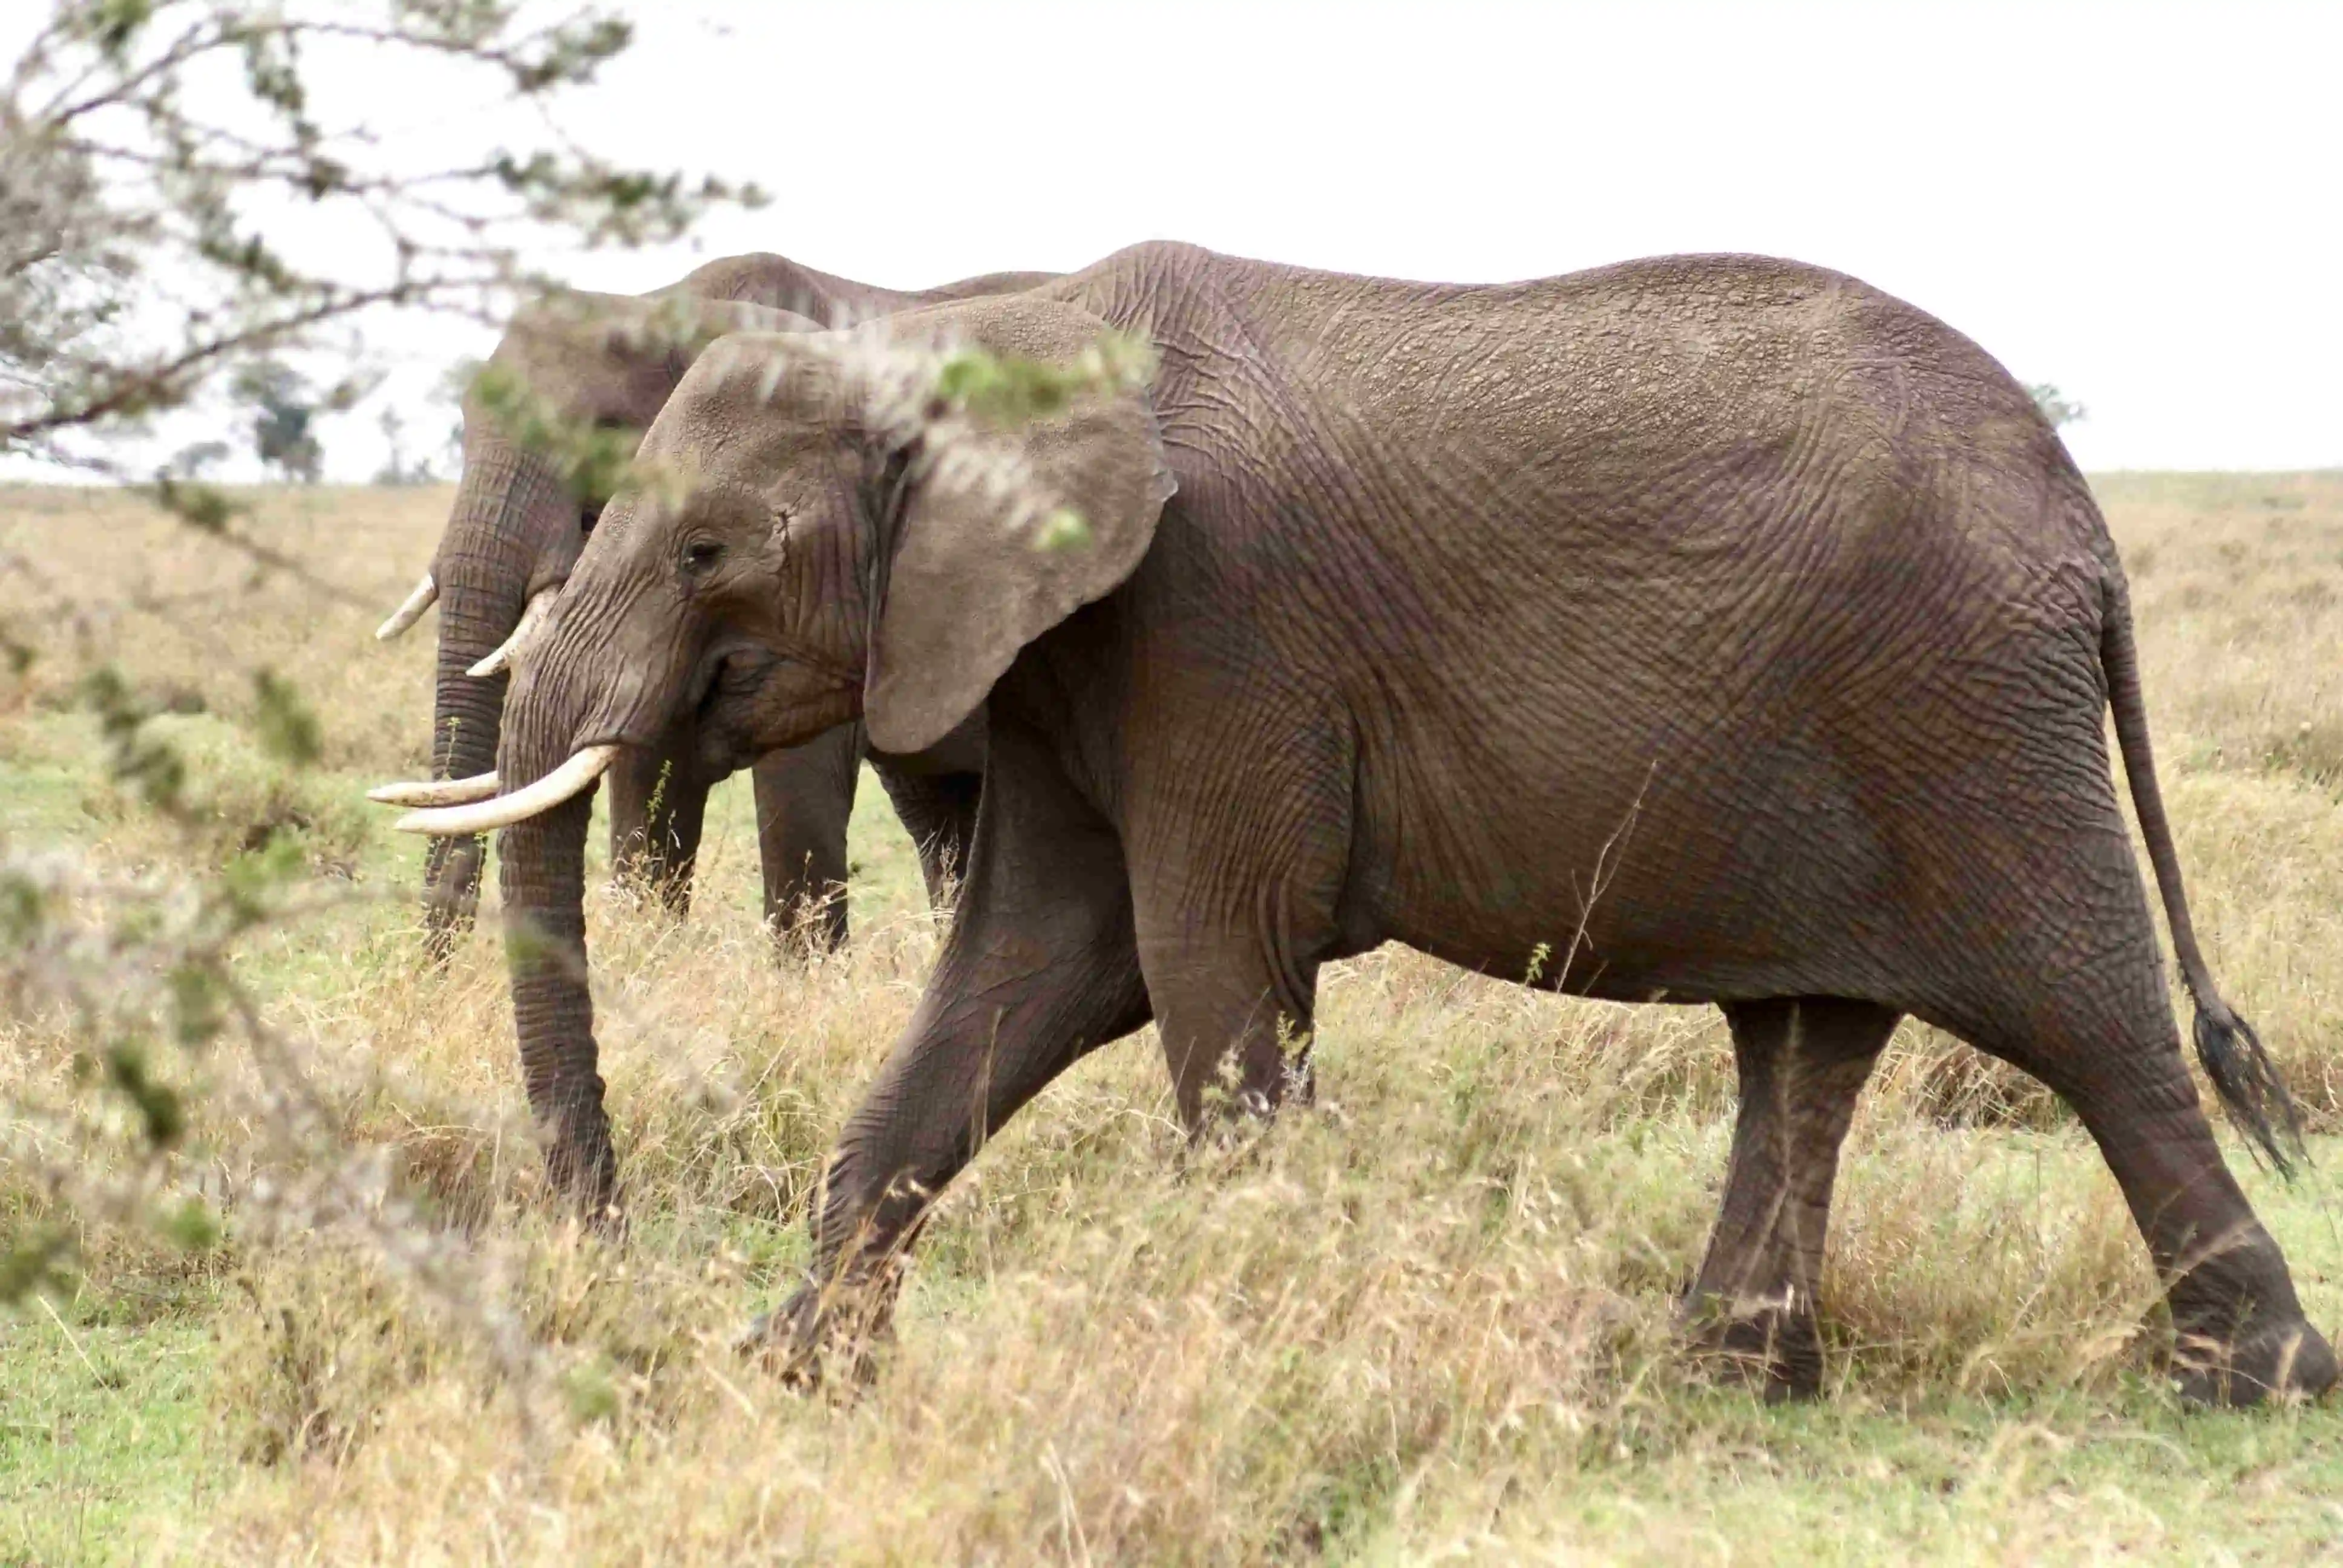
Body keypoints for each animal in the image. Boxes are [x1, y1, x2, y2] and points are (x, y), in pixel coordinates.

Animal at [372, 253, 1049, 961]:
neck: (669, 308)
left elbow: (796, 772)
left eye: (601, 436)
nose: (432, 969)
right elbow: (644, 767)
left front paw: (804, 976)